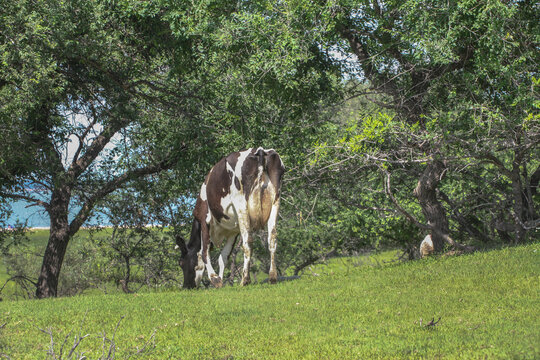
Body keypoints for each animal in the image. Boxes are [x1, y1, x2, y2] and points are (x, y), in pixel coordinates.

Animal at [177, 148, 286, 288]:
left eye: (181, 263)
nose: (186, 286)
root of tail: (260, 151)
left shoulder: (204, 219)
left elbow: (204, 252)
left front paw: (215, 279)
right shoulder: (233, 231)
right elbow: (223, 257)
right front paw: (220, 280)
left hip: (241, 204)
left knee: (248, 242)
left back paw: (245, 279)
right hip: (275, 202)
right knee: (272, 239)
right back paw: (272, 277)